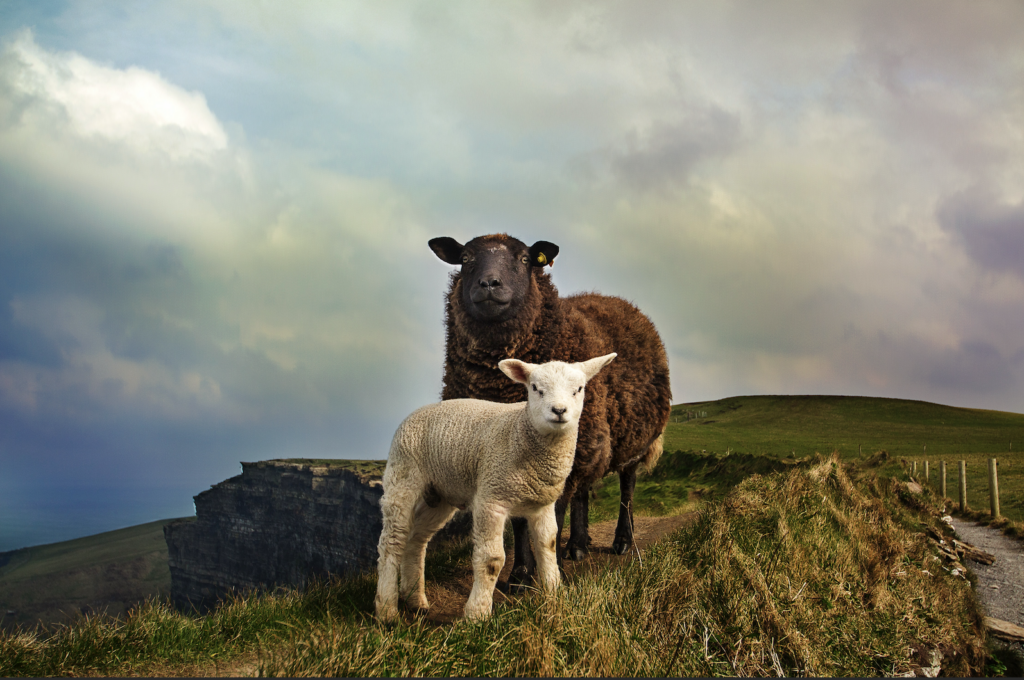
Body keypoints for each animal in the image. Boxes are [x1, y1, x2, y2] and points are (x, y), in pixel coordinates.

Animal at [376, 350, 614, 622]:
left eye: (579, 389)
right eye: (535, 388)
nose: (559, 410)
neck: (520, 431)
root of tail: (416, 412)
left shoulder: (542, 504)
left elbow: (548, 547)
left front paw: (555, 597)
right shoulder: (491, 498)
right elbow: (492, 559)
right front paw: (477, 614)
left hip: (439, 494)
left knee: (416, 540)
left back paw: (415, 600)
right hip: (403, 476)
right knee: (392, 541)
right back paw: (387, 610)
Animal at [425, 231, 671, 585]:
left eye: (525, 259)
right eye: (466, 258)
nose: (489, 283)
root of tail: (619, 301)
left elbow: (550, 514)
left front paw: (546, 575)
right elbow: (520, 520)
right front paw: (520, 574)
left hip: (632, 437)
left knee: (627, 487)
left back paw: (622, 541)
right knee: (584, 490)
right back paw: (578, 546)